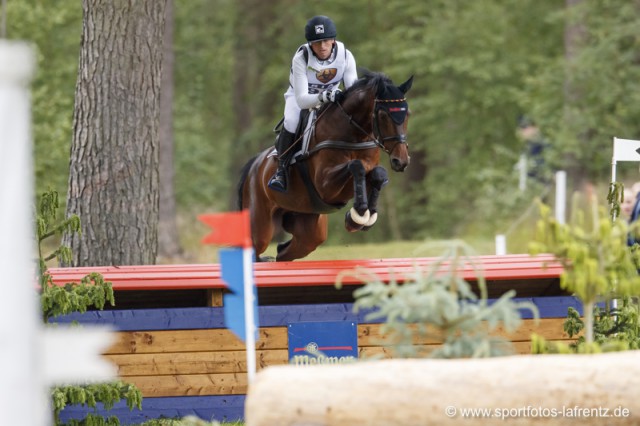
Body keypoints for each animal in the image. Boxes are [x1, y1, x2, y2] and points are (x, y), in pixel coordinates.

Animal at [238, 71, 412, 262]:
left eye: (407, 114)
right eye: (383, 115)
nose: (401, 161)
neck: (354, 135)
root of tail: (254, 165)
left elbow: (378, 174)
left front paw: (365, 216)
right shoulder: (326, 187)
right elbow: (356, 166)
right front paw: (358, 213)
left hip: (308, 229)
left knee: (285, 252)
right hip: (260, 228)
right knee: (256, 248)